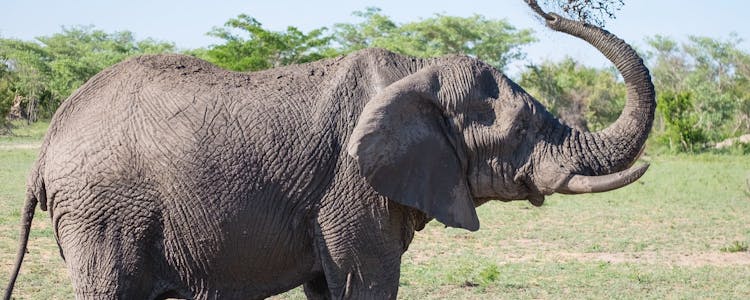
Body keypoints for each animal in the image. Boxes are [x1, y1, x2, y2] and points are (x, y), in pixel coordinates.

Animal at [2, 4, 656, 300]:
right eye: (521, 127)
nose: (547, 10)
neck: (416, 70)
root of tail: (48, 143)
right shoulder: (350, 186)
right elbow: (366, 283)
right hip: (103, 214)